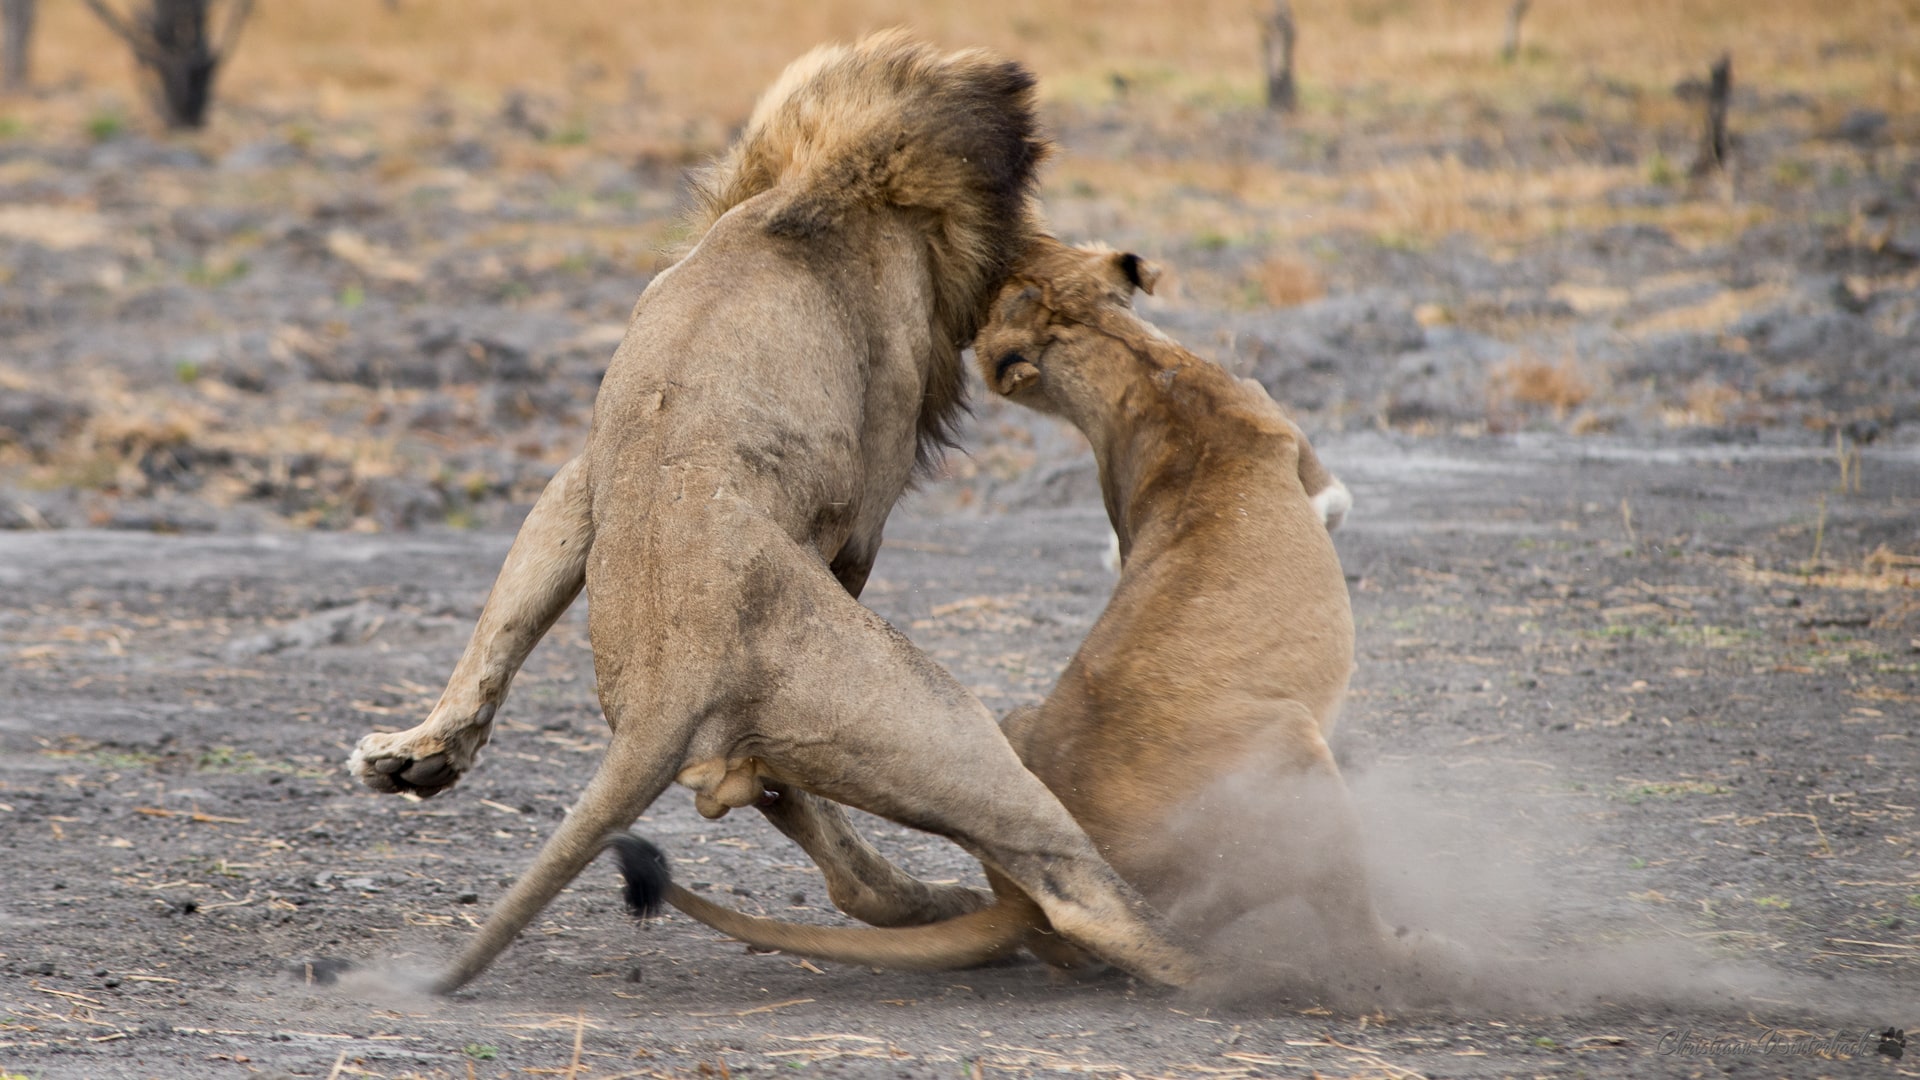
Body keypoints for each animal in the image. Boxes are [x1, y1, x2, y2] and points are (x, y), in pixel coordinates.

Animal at [346, 37, 1198, 994]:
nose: (1103, 263)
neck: (814, 187)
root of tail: (673, 685)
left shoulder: (577, 478)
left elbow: (502, 623)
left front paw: (422, 751)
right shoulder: (868, 494)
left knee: (834, 851)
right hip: (942, 719)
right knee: (1068, 884)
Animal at [613, 238, 1452, 1004]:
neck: (1134, 368)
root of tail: (1030, 901)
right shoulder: (1312, 474)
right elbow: (1332, 497)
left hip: (1015, 724)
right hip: (1290, 748)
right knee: (1348, 924)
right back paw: (1411, 958)